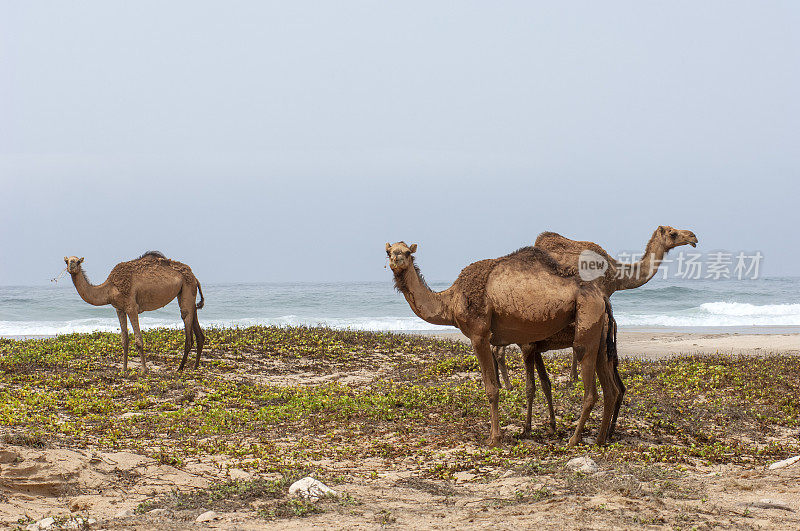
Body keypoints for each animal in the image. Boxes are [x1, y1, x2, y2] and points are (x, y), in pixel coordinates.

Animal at [64, 254, 206, 374]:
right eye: (66, 261)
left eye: (77, 261)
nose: (71, 267)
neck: (110, 288)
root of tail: (194, 276)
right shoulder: (119, 309)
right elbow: (124, 339)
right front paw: (124, 369)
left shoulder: (131, 307)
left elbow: (138, 340)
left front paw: (144, 370)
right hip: (187, 292)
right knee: (197, 326)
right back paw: (195, 366)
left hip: (187, 286)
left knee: (187, 323)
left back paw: (180, 368)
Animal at [386, 243, 620, 446]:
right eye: (388, 251)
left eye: (407, 252)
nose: (396, 260)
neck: (451, 300)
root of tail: (602, 295)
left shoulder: (479, 334)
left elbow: (492, 389)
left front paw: (495, 438)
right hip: (598, 332)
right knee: (610, 388)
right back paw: (600, 439)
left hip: (587, 314)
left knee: (590, 385)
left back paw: (575, 439)